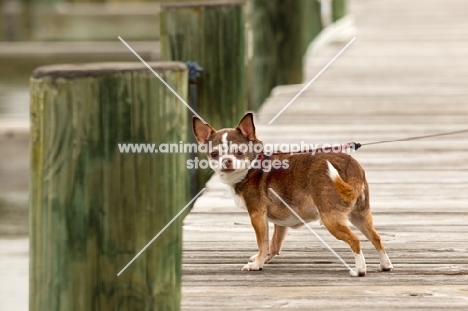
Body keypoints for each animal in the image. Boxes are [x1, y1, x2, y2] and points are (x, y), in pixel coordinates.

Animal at [192, 112, 394, 278]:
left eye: (239, 152)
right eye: (214, 154)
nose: (226, 161)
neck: (253, 166)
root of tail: (351, 164)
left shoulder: (257, 215)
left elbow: (262, 242)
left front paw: (256, 264)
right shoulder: (280, 222)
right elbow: (273, 244)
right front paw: (262, 259)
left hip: (331, 218)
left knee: (355, 239)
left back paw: (359, 270)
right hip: (360, 214)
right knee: (376, 237)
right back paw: (385, 265)